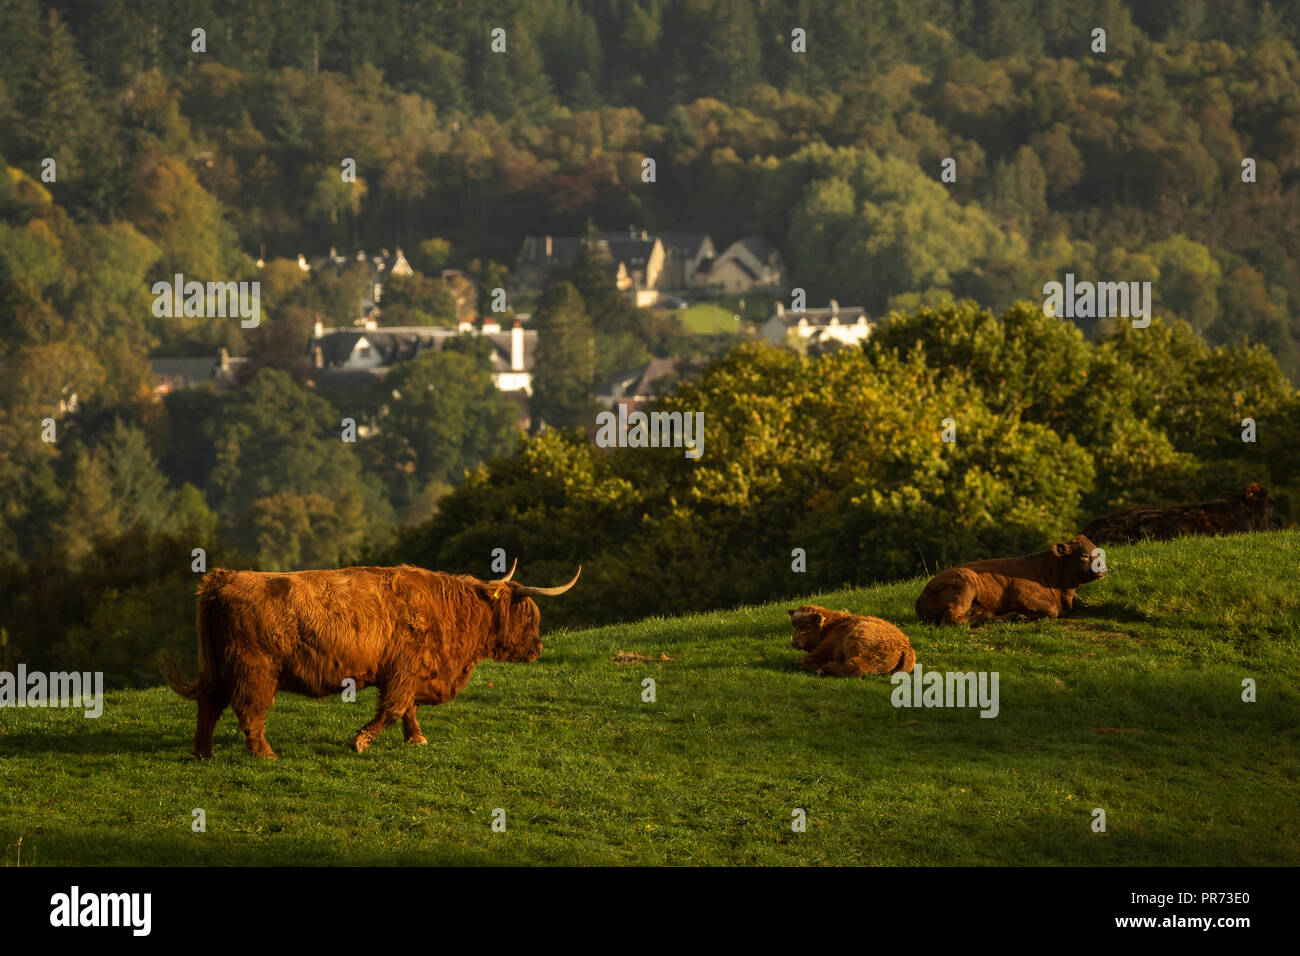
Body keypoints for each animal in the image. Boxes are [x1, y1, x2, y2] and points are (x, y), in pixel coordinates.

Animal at [162, 561, 579, 754]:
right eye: (529, 616)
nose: (538, 648)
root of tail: (223, 579)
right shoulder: (403, 671)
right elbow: (394, 708)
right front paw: (360, 740)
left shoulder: (411, 673)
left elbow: (408, 709)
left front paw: (416, 738)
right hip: (255, 669)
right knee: (249, 710)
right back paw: (264, 754)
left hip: (221, 667)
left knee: (209, 705)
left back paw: (202, 752)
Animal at [785, 608, 920, 676]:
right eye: (794, 626)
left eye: (808, 626)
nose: (794, 642)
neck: (834, 624)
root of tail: (906, 647)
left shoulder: (826, 647)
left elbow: (805, 660)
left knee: (856, 667)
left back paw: (827, 667)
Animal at [915, 538, 1107, 629]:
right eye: (1084, 555)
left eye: (1098, 552)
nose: (1104, 570)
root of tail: (921, 595)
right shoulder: (1019, 594)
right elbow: (1051, 610)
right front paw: (1023, 615)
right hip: (965, 582)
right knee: (952, 619)